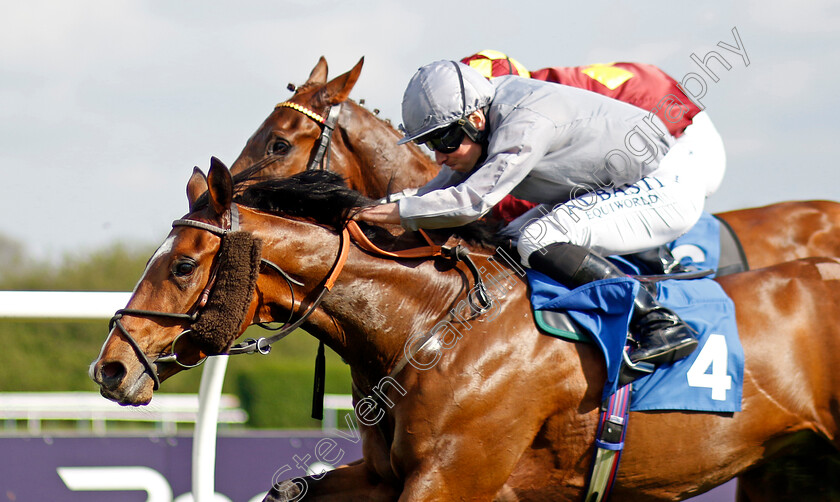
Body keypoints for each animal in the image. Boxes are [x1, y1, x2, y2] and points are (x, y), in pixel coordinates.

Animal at [92, 162, 840, 502]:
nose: (110, 368)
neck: (429, 328)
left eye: (183, 264)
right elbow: (291, 490)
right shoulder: (389, 476)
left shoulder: (453, 480)